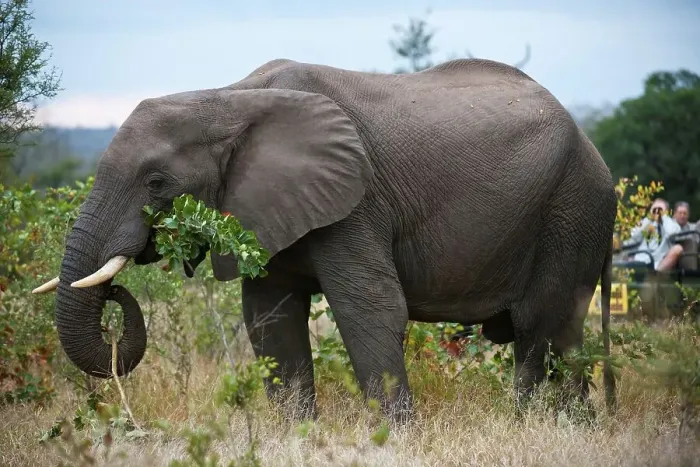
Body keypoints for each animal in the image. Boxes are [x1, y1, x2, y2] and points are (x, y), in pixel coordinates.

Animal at [33, 57, 617, 423]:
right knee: (564, 338)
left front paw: (394, 438)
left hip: (571, 209)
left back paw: (526, 424)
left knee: (537, 329)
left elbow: (370, 308)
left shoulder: (354, 201)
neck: (227, 98)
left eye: (156, 183)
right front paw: (298, 435)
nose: (115, 291)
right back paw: (580, 429)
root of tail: (597, 153)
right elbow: (270, 320)